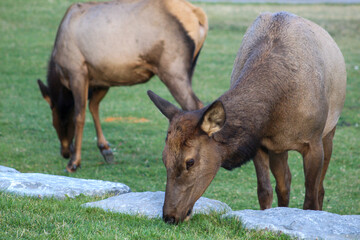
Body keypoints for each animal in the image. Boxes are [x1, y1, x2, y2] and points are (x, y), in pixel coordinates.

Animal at [37, 0, 208, 172]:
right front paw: (106, 149)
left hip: (172, 69)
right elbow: (94, 107)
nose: (65, 152)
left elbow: (79, 115)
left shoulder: (77, 71)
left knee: (195, 106)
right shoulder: (101, 78)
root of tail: (198, 15)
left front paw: (74, 162)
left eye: (55, 122)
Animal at [148, 12, 348, 224]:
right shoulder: (259, 142)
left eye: (190, 162)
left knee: (320, 188)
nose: (169, 216)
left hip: (329, 131)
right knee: (284, 182)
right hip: (278, 149)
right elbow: (264, 191)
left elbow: (311, 198)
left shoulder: (313, 142)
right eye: (164, 158)